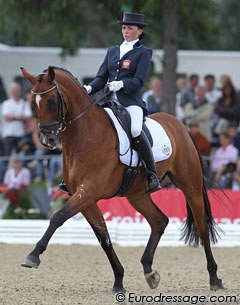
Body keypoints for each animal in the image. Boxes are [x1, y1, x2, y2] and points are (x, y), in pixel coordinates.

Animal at [19, 66, 223, 290]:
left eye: (53, 101)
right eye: (33, 103)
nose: (47, 140)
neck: (85, 135)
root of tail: (179, 124)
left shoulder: (89, 190)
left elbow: (58, 217)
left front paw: (33, 256)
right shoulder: (85, 197)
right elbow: (104, 237)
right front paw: (118, 280)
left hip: (190, 186)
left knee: (202, 227)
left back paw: (214, 278)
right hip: (137, 194)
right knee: (159, 221)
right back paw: (149, 272)